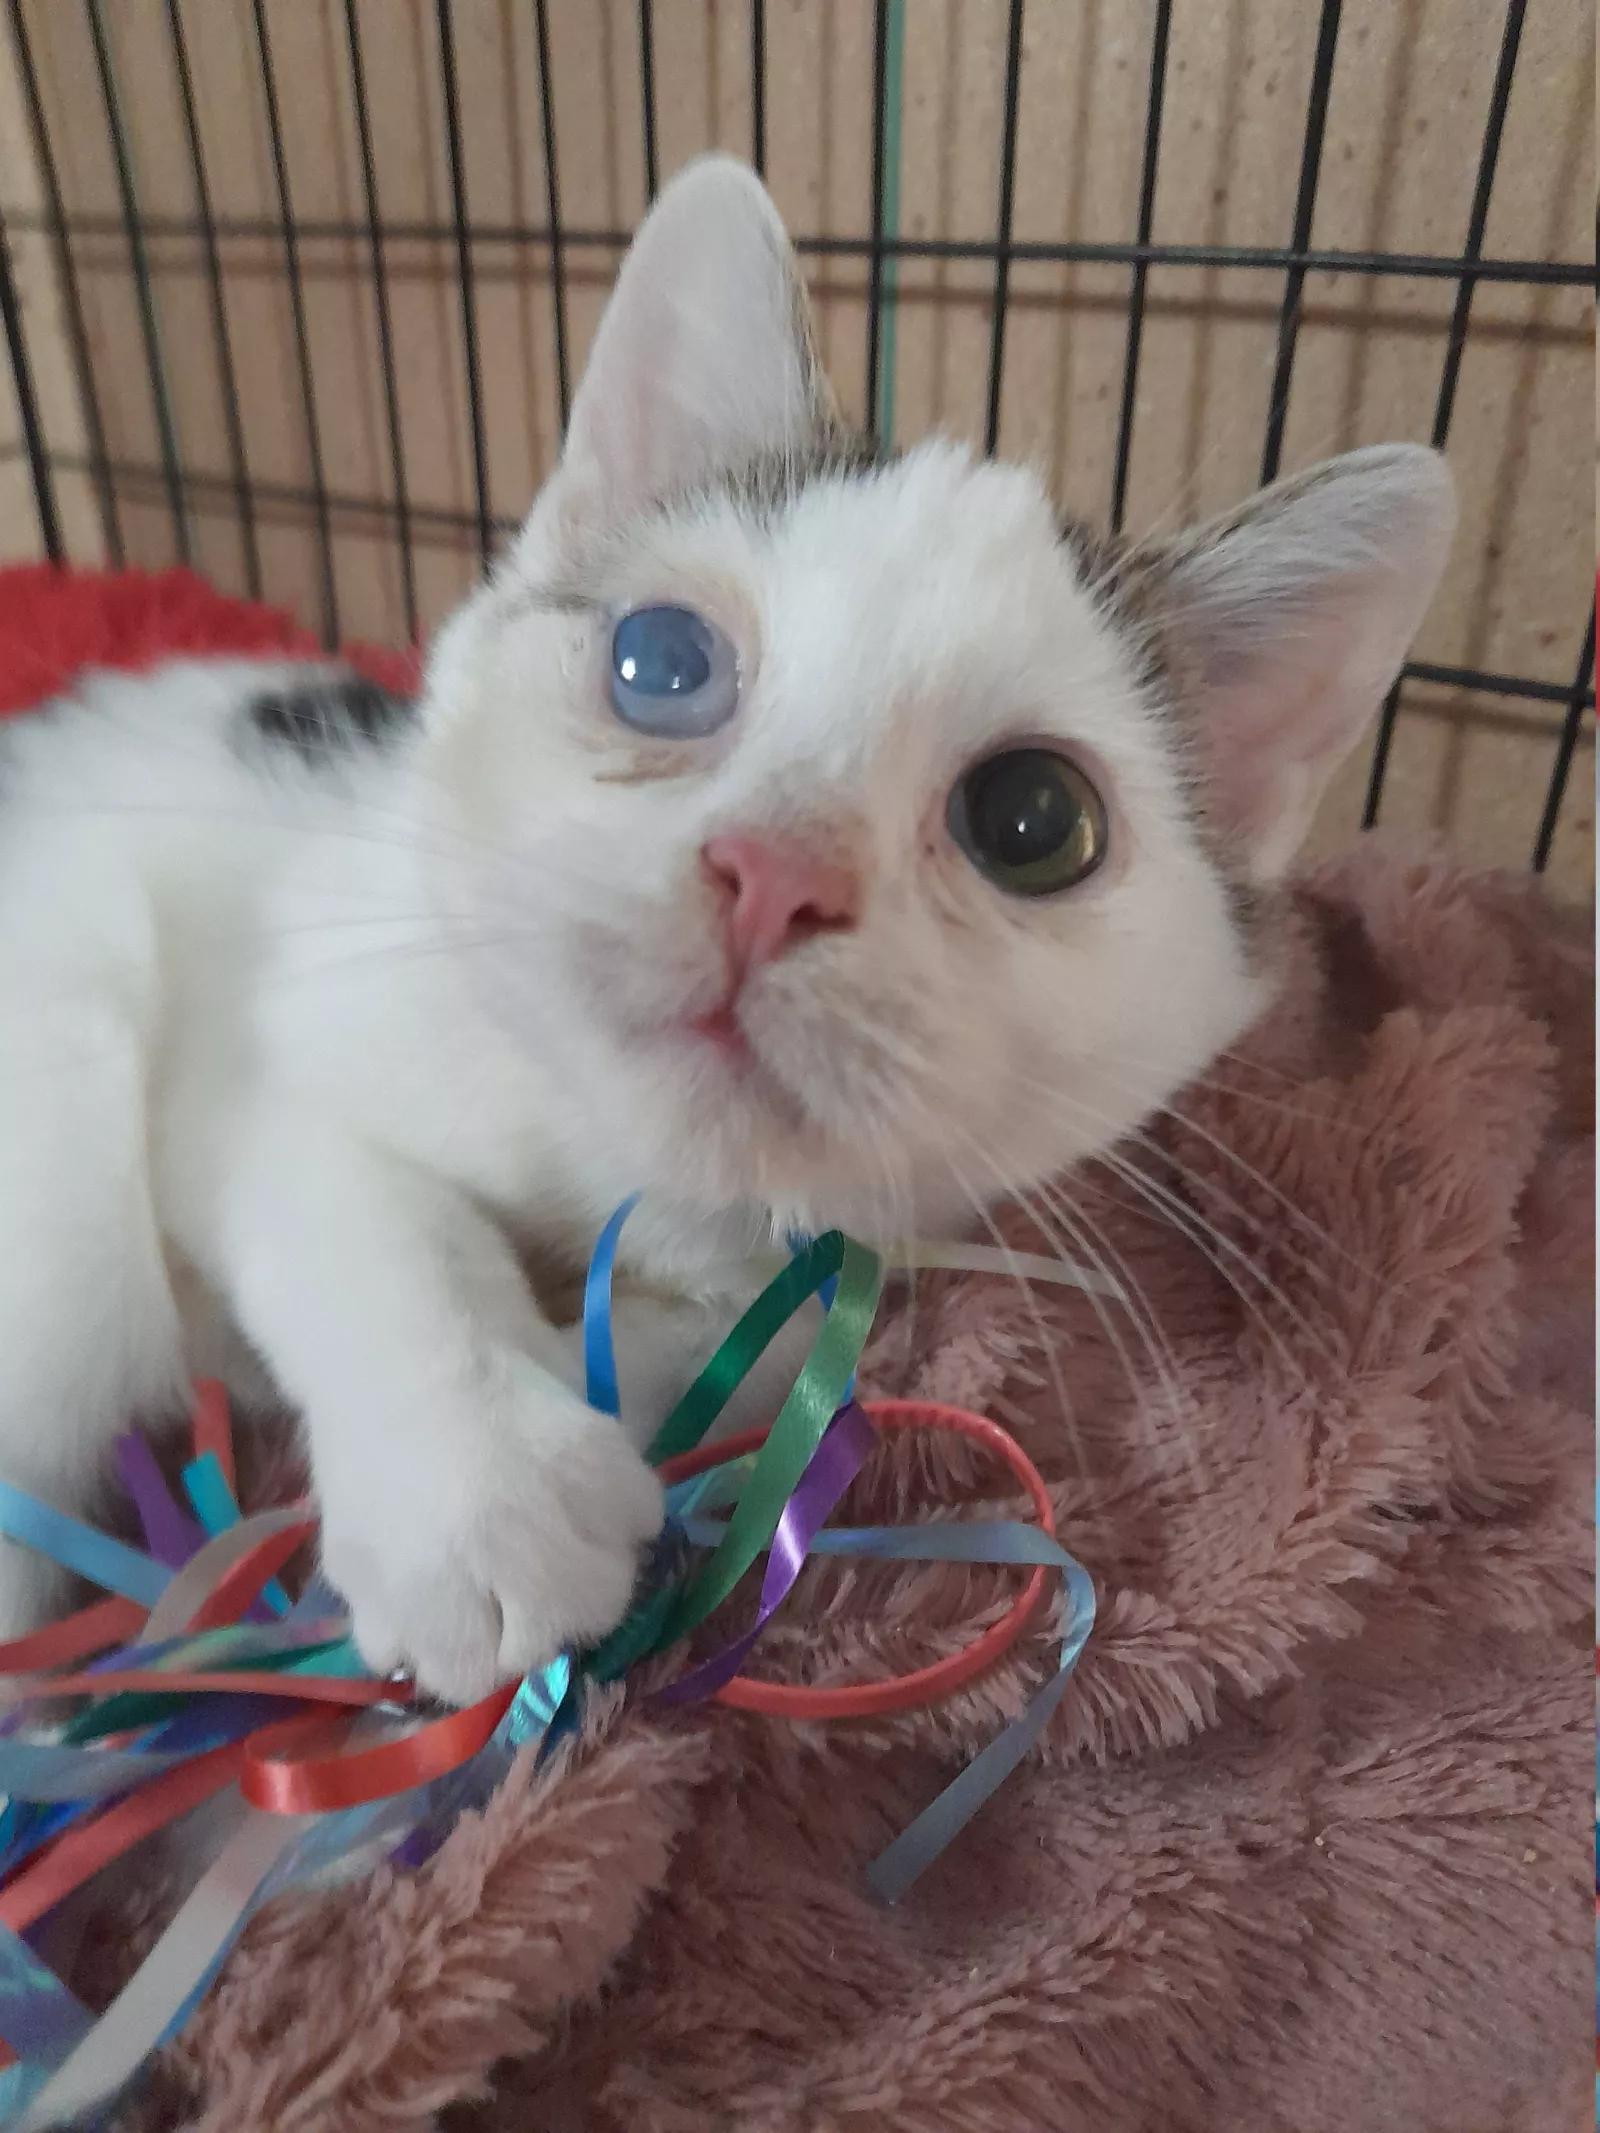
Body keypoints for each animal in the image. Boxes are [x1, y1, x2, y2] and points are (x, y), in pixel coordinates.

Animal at [0, 155, 1454, 1704]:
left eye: (1031, 819)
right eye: (662, 664)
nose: (769, 872)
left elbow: (753, 1338)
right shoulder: (273, 1019)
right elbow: (361, 1216)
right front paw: (486, 1498)